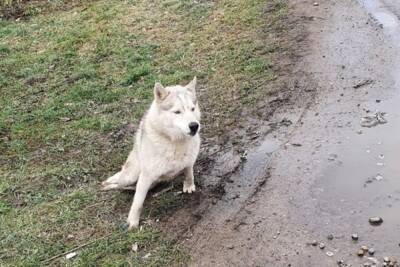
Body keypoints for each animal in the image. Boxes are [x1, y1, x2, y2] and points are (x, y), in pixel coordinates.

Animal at [101, 77, 202, 230]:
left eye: (192, 109)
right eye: (177, 112)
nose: (194, 126)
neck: (174, 142)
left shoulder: (189, 161)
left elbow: (189, 173)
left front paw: (189, 186)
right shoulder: (146, 176)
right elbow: (137, 202)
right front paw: (132, 221)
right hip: (131, 176)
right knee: (120, 183)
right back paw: (109, 184)